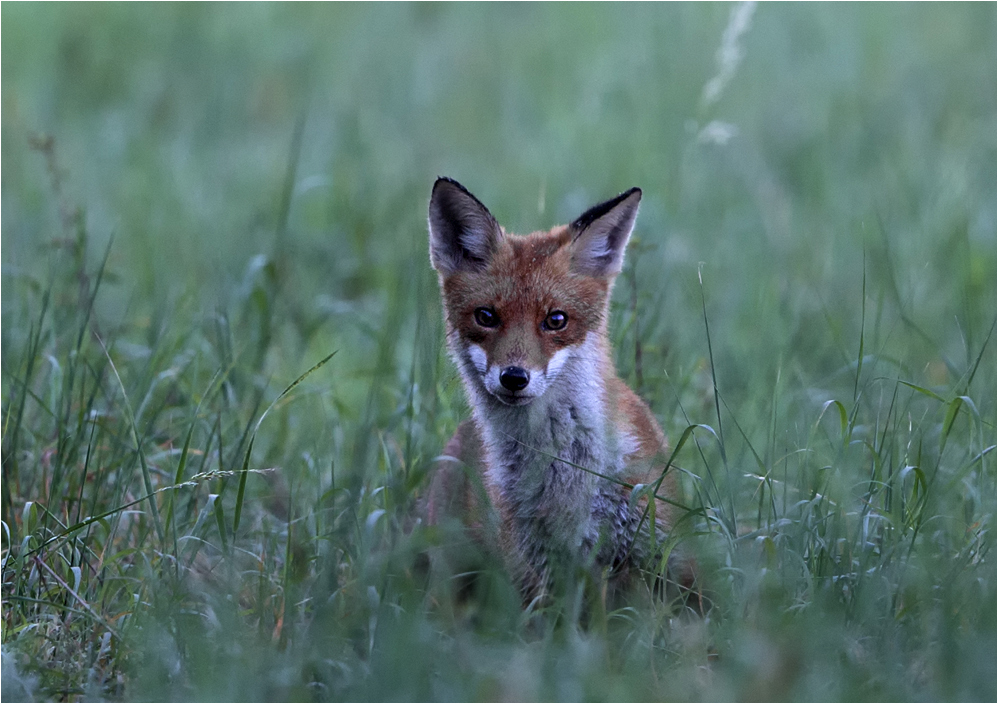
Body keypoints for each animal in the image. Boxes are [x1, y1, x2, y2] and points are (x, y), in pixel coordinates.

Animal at [424, 176, 696, 604]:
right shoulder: (538, 573)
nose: (514, 377)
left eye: (556, 320)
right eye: (486, 316)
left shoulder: (665, 558)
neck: (567, 478)